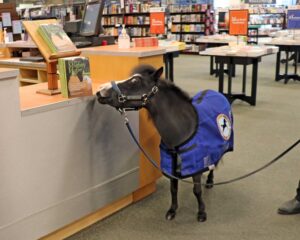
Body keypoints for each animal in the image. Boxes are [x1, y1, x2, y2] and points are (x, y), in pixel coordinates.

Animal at [96, 64, 234, 222]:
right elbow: (173, 189)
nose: (100, 91)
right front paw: (172, 210)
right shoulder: (172, 167)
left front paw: (201, 212)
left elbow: (197, 190)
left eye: (135, 81)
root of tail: (217, 93)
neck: (182, 129)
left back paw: (210, 181)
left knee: (213, 164)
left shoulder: (196, 166)